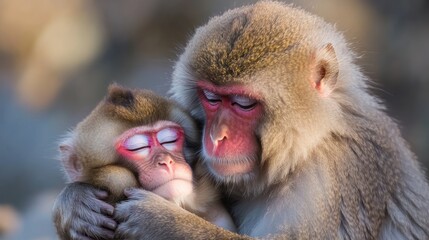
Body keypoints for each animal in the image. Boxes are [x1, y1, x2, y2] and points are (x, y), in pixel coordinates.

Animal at [113, 0, 428, 239]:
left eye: (243, 104)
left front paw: (159, 220)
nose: (215, 137)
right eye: (211, 98)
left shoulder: (332, 182)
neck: (307, 149)